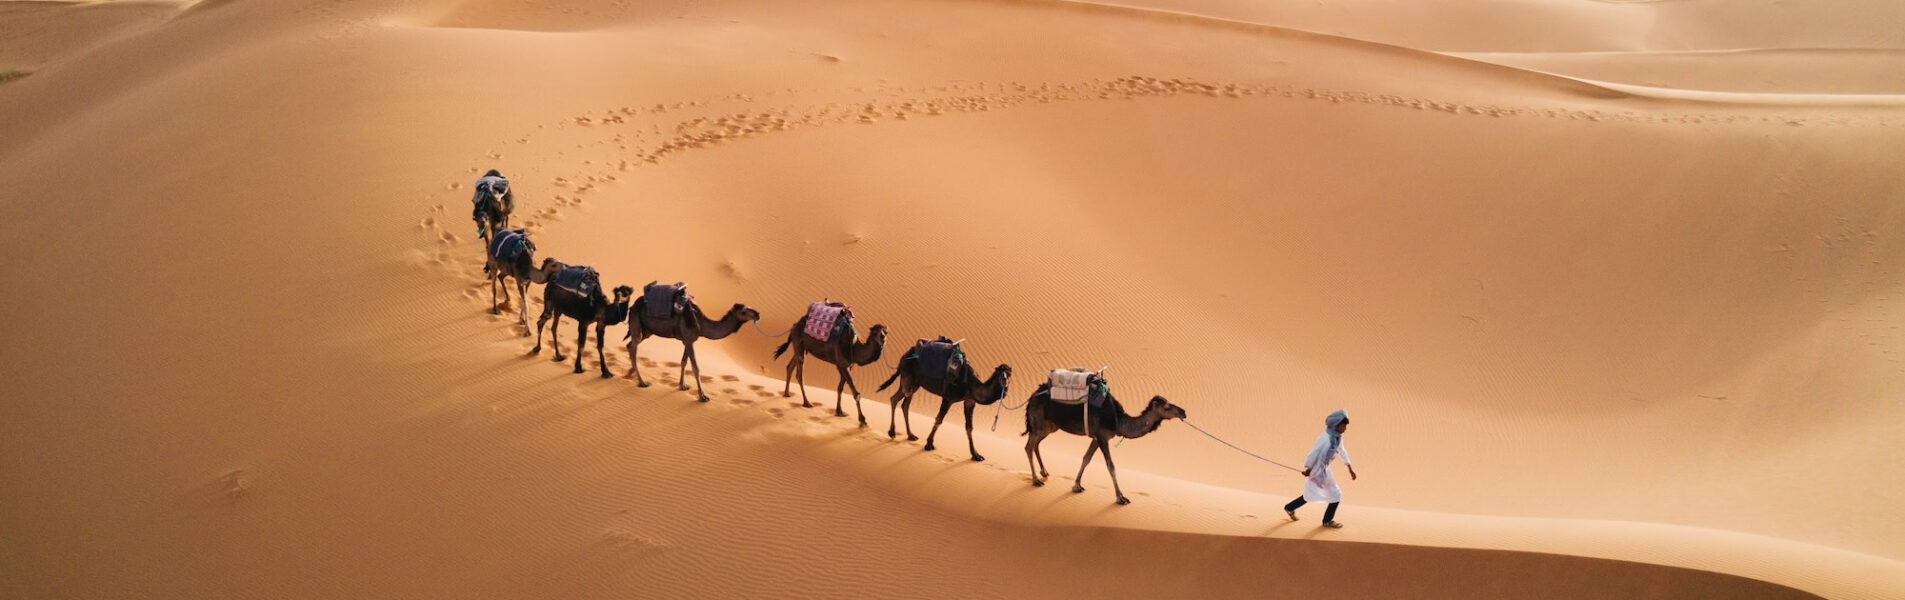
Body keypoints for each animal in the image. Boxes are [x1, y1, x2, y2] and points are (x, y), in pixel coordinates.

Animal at [624, 294, 761, 402]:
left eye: (749, 306)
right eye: (743, 311)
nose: (757, 314)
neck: (701, 324)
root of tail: (632, 306)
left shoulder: (687, 340)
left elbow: (683, 361)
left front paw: (682, 386)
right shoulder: (689, 340)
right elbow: (696, 368)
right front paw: (702, 396)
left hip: (647, 331)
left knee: (630, 345)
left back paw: (630, 373)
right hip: (637, 322)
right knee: (633, 346)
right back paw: (642, 382)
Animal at [876, 349, 1012, 461]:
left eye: (1009, 374)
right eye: (999, 373)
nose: (1005, 382)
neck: (971, 385)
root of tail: (905, 355)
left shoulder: (969, 401)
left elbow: (969, 427)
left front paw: (976, 455)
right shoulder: (948, 398)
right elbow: (939, 420)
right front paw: (929, 444)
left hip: (915, 384)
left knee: (905, 404)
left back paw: (911, 435)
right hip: (907, 378)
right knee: (895, 399)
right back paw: (892, 432)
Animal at [1023, 383, 1187, 505]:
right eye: (1166, 406)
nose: (1183, 412)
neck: (1118, 420)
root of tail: (1032, 396)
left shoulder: (1096, 438)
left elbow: (1086, 458)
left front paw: (1077, 485)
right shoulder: (1102, 437)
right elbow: (1111, 466)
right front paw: (1121, 497)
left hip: (1049, 426)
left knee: (1036, 444)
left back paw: (1044, 472)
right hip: (1039, 422)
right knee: (1029, 446)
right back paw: (1036, 480)